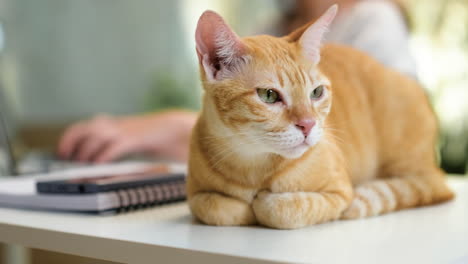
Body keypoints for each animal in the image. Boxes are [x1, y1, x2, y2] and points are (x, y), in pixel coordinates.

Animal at [186, 5, 454, 230]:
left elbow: (281, 209)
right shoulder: (195, 195)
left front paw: (262, 204)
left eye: (316, 92)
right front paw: (241, 207)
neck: (252, 164)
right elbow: (215, 208)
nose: (308, 125)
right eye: (269, 95)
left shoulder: (340, 193)